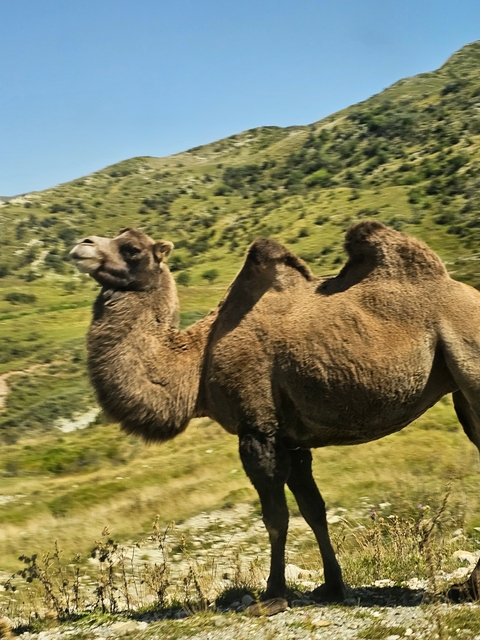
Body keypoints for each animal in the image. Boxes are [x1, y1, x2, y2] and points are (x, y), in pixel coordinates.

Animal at [70, 220, 480, 606]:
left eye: (132, 249)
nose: (82, 245)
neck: (197, 363)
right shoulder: (291, 438)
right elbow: (313, 509)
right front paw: (332, 587)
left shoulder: (257, 428)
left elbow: (275, 517)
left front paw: (273, 596)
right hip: (460, 390)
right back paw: (464, 587)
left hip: (468, 361)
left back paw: (467, 587)